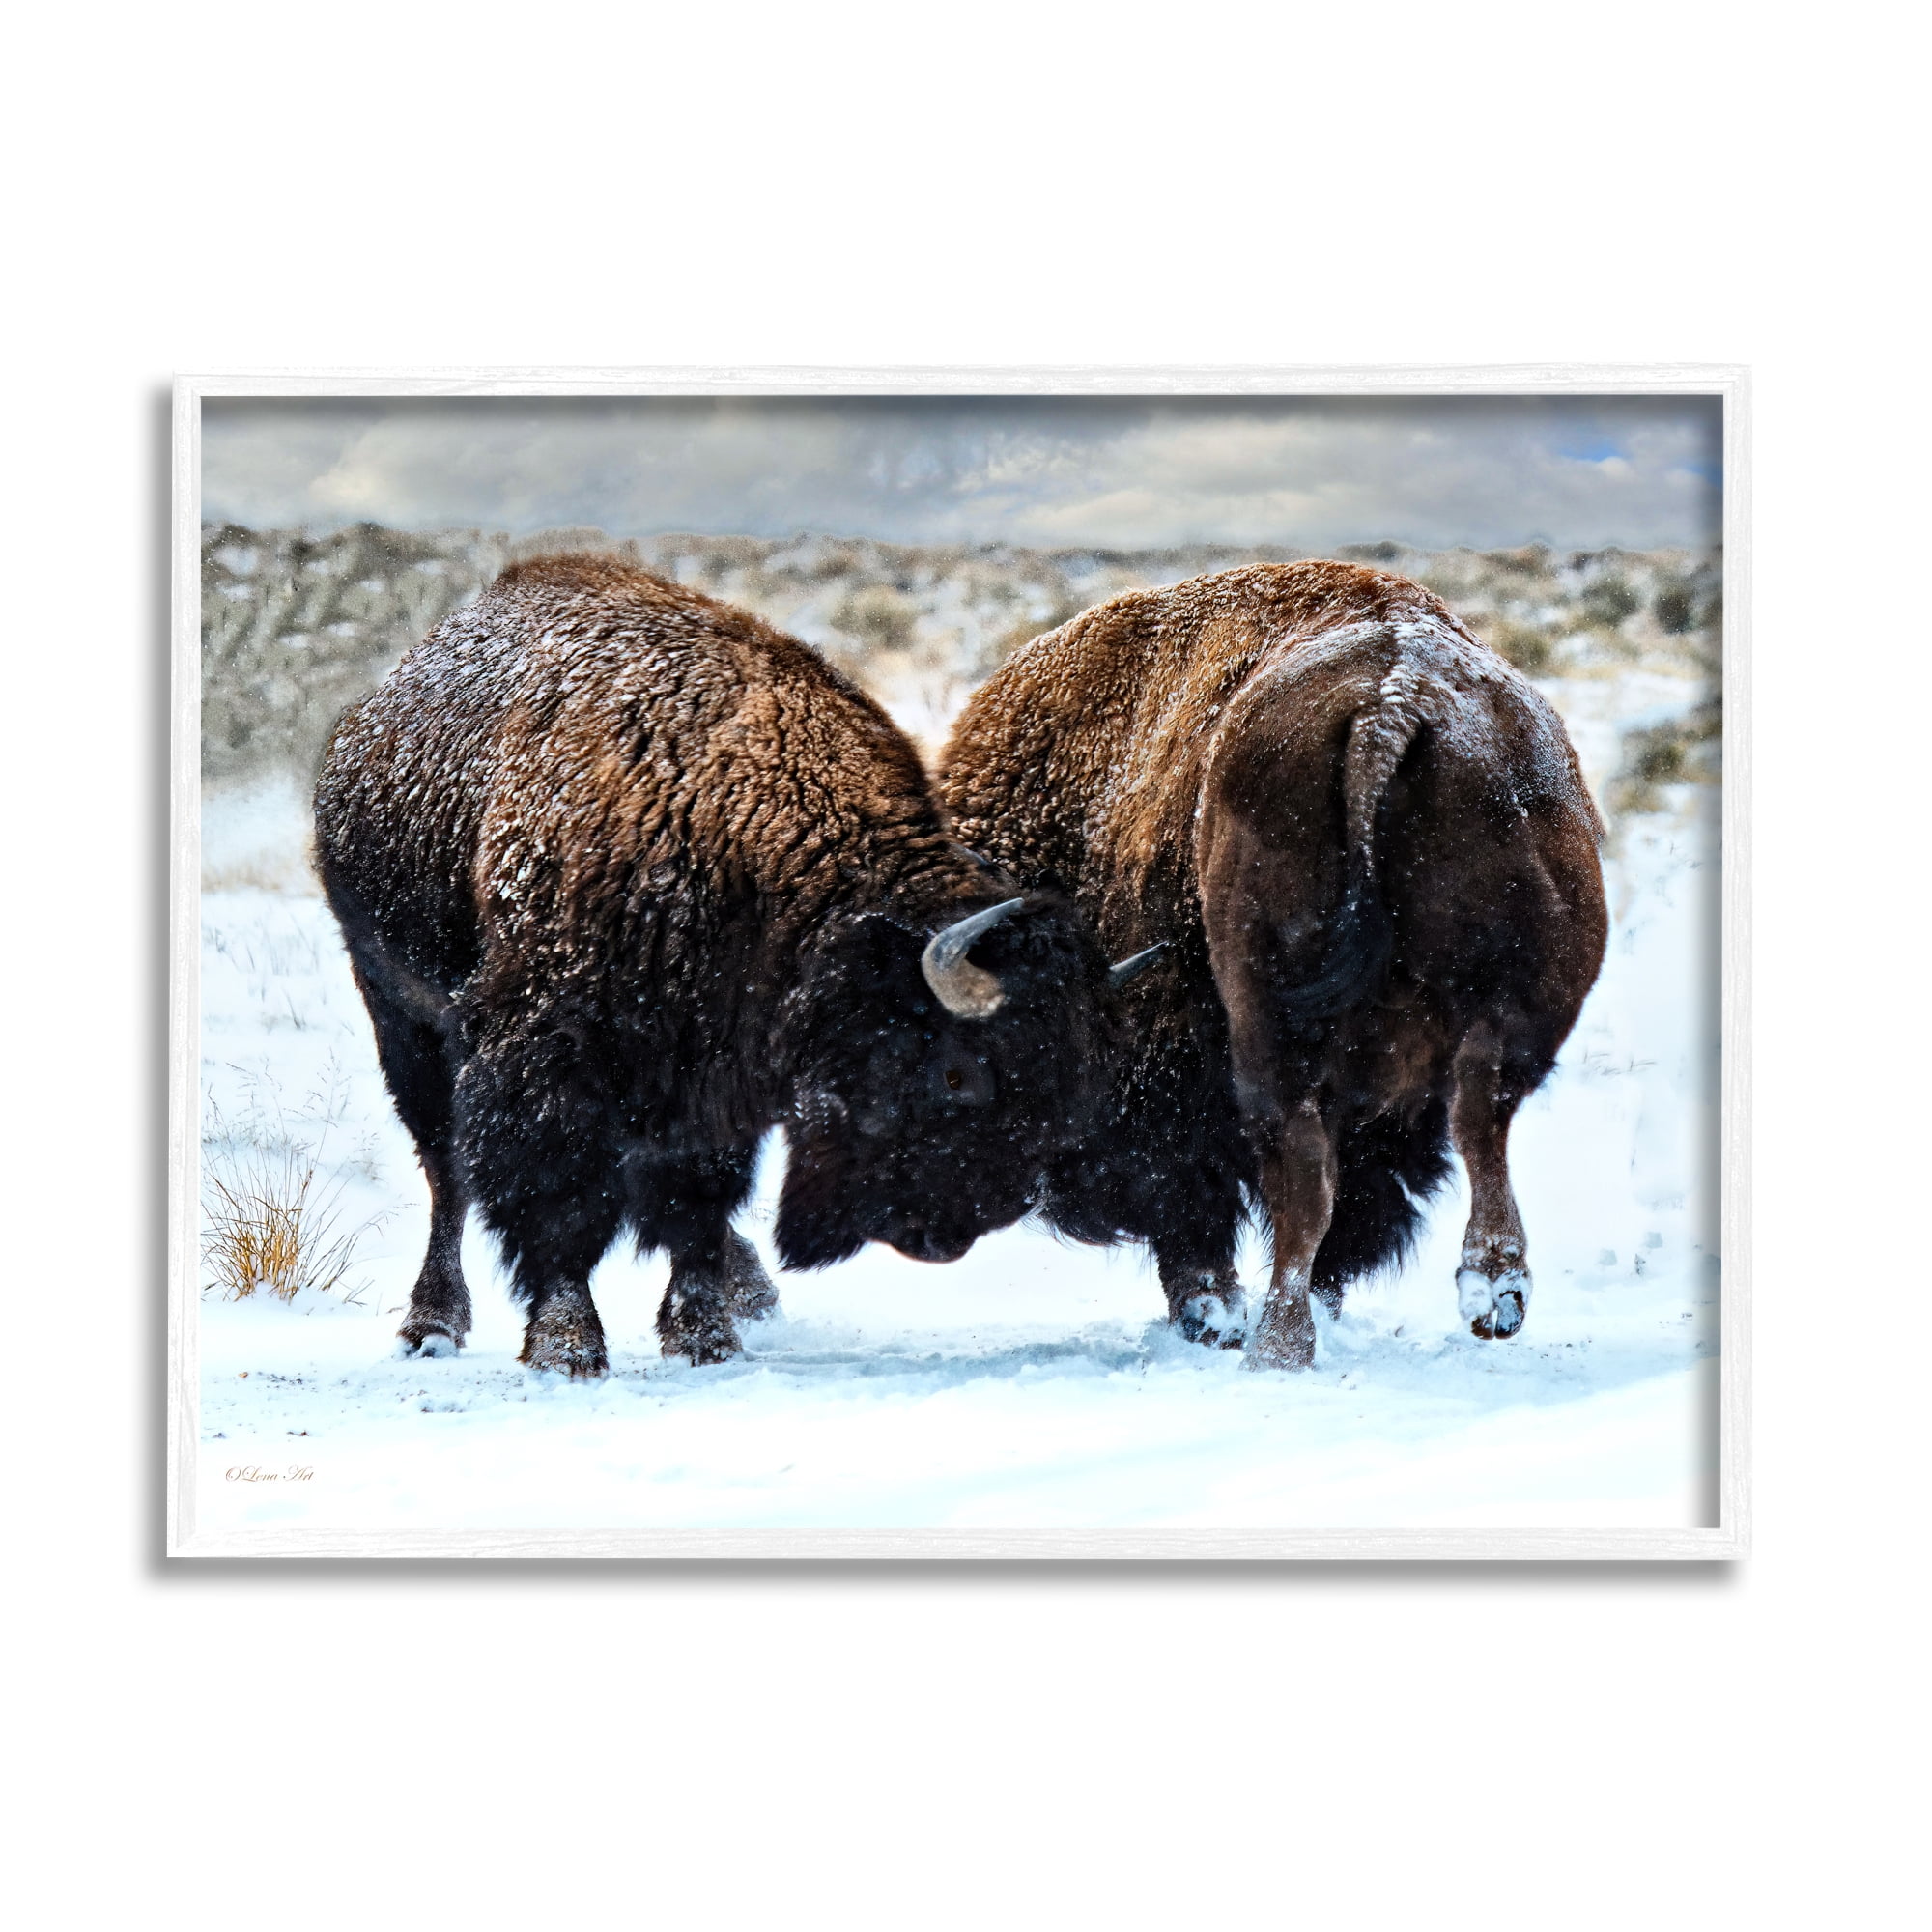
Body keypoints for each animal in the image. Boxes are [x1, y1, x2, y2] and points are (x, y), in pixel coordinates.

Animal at [314, 554, 1138, 1376]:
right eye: (957, 1074)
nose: (967, 1226)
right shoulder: (544, 1059)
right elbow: (560, 1204)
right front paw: (566, 1348)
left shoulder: (713, 1073)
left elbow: (695, 1201)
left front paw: (706, 1336)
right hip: (400, 1014)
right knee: (445, 1170)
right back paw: (431, 1325)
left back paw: (749, 1291)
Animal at [940, 561, 1608, 1369]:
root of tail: (1394, 702)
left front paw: (1215, 1316)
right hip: (1526, 996)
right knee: (1481, 1110)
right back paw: (1493, 1294)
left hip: (1267, 1021)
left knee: (1305, 1168)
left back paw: (1276, 1344)